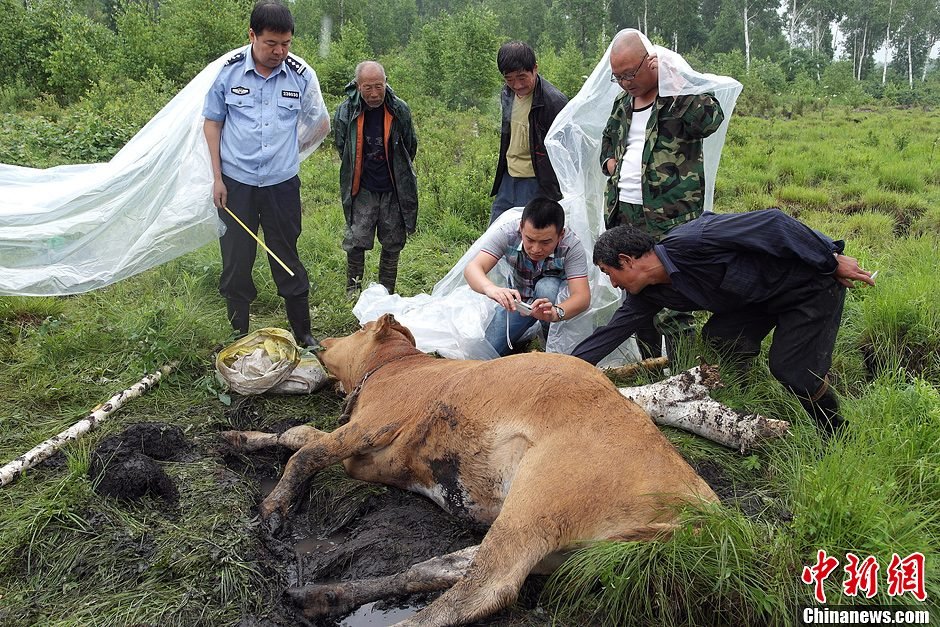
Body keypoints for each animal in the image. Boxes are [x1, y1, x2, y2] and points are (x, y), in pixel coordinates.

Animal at [222, 314, 720, 627]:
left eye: (361, 328)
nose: (320, 341)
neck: (397, 369)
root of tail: (702, 506)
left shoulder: (372, 424)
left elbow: (306, 452)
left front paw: (274, 509)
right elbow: (298, 435)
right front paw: (239, 439)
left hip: (540, 500)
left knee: (484, 589)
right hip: (564, 549)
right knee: (437, 568)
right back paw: (321, 596)